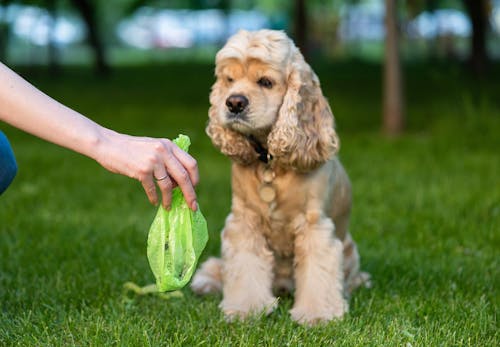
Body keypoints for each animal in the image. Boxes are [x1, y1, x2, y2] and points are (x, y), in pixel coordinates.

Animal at [193, 29, 370, 326]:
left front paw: (317, 315)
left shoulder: (315, 226)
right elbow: (244, 267)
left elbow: (318, 271)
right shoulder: (244, 221)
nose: (234, 102)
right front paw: (245, 309)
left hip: (349, 251)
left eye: (266, 82)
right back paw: (205, 282)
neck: (271, 162)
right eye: (229, 79)